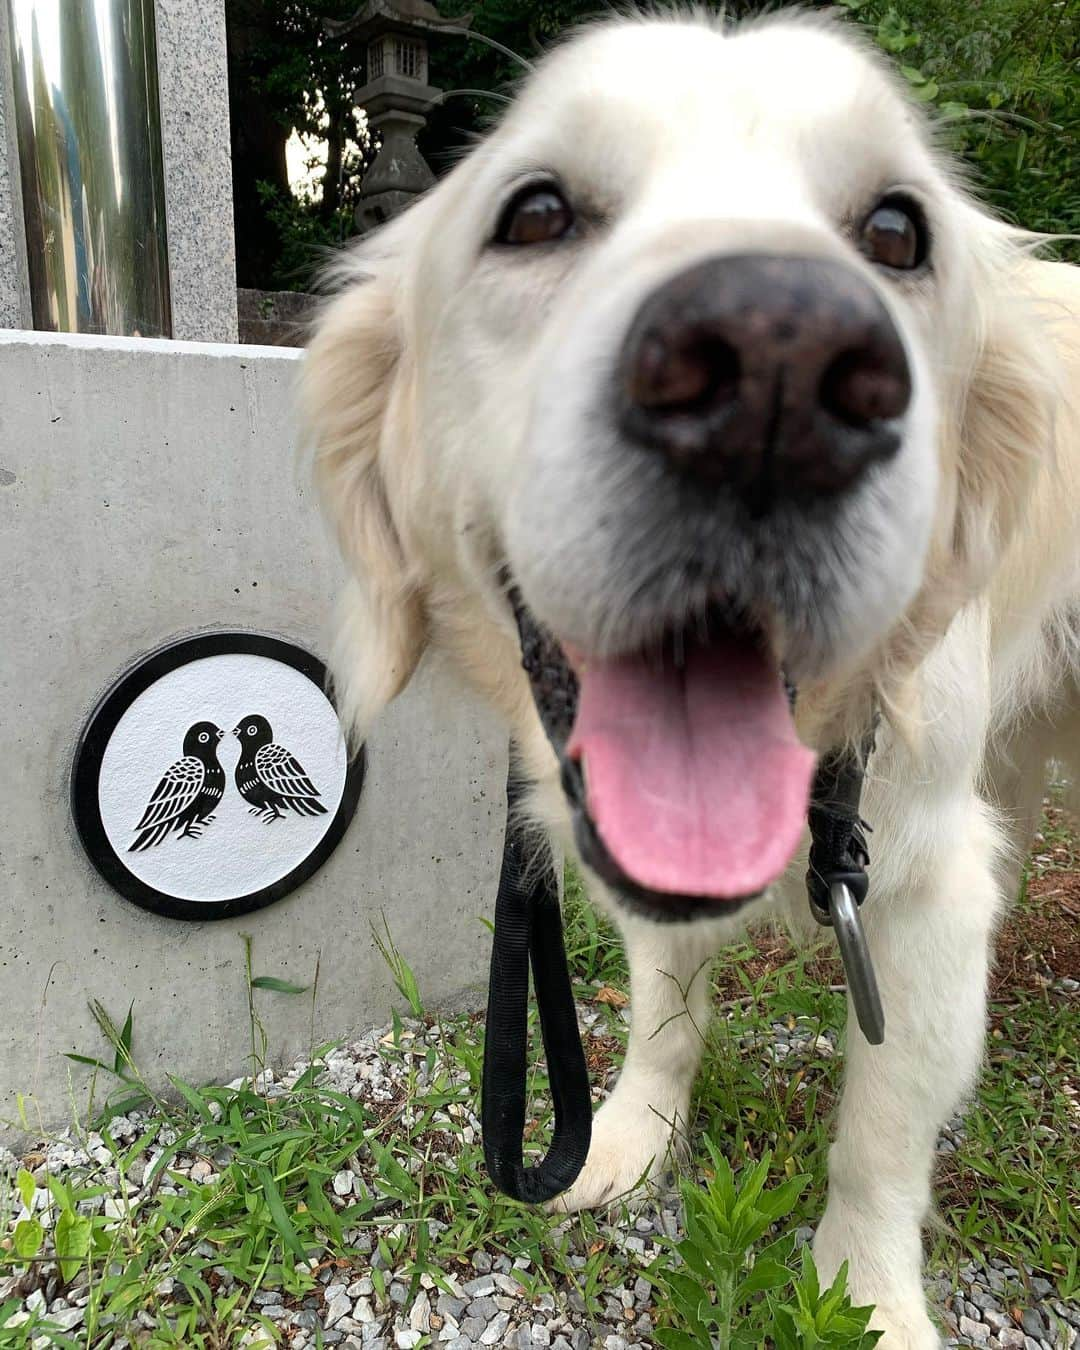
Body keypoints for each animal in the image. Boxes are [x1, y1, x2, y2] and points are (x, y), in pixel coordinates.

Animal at [301, 7, 1080, 1339]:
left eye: (897, 232)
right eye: (536, 212)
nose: (778, 368)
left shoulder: (924, 886)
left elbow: (881, 1134)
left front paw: (869, 1293)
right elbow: (666, 1004)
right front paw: (633, 1137)